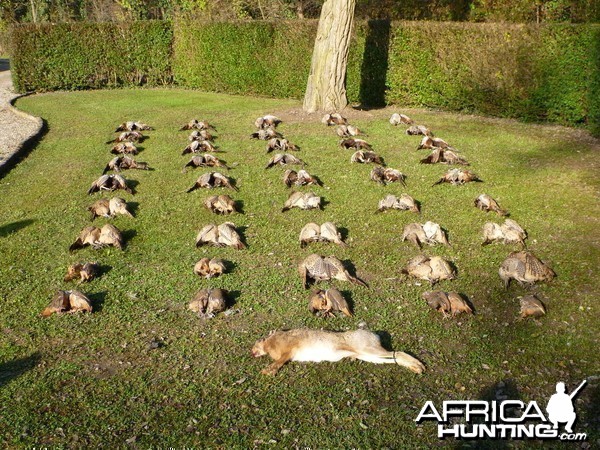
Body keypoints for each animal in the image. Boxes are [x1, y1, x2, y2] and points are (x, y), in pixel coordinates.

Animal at [251, 326, 424, 376]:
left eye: (257, 342)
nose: (251, 352)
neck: (269, 343)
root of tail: (374, 335)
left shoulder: (288, 351)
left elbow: (279, 361)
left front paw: (267, 372)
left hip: (369, 349)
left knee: (398, 353)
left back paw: (419, 366)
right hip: (368, 356)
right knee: (394, 358)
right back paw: (415, 368)